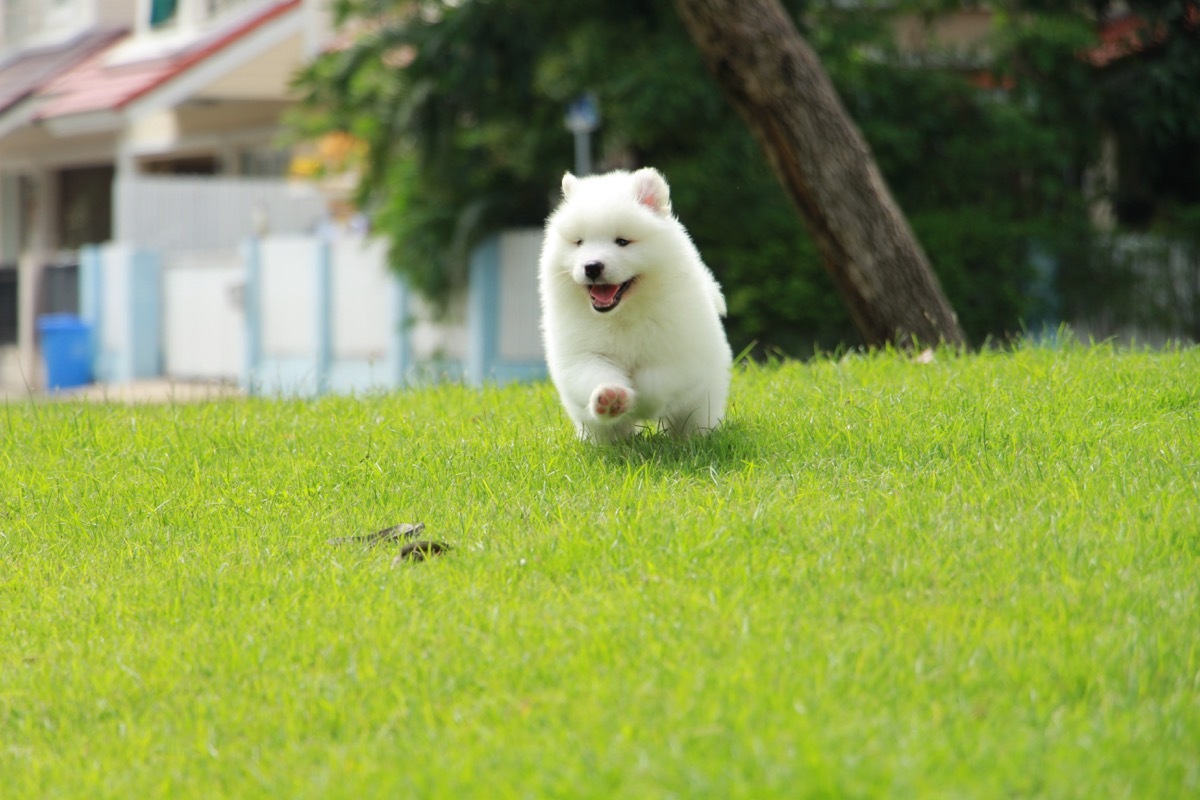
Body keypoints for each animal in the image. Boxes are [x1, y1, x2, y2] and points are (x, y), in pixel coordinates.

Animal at [542, 169, 729, 443]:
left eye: (622, 242)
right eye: (579, 243)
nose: (592, 266)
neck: (623, 314)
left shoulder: (678, 356)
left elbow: (654, 382)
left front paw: (639, 402)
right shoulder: (584, 355)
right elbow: (595, 374)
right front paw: (611, 397)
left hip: (704, 396)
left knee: (694, 417)